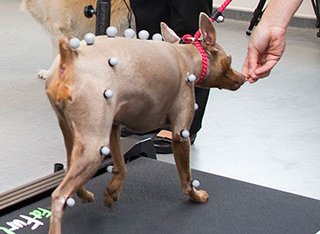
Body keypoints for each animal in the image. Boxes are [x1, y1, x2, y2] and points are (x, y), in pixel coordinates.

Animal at [45, 13, 245, 234]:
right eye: (230, 60)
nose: (243, 77)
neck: (186, 54)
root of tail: (68, 59)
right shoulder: (180, 134)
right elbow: (187, 177)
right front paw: (196, 196)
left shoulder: (114, 127)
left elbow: (121, 166)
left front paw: (112, 191)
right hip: (93, 146)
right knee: (58, 196)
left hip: (74, 135)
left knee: (69, 172)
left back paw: (86, 194)